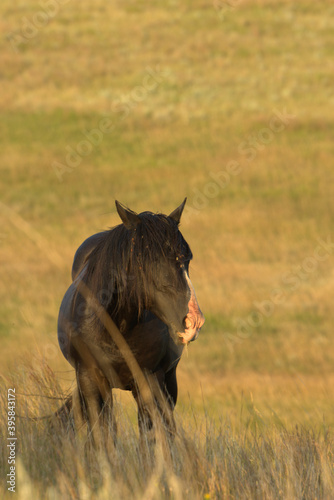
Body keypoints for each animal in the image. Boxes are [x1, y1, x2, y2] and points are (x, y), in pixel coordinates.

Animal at [56, 198, 205, 446]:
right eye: (147, 259)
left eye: (188, 259)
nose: (193, 322)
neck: (116, 327)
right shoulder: (90, 380)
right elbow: (102, 437)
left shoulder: (149, 380)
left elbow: (149, 437)